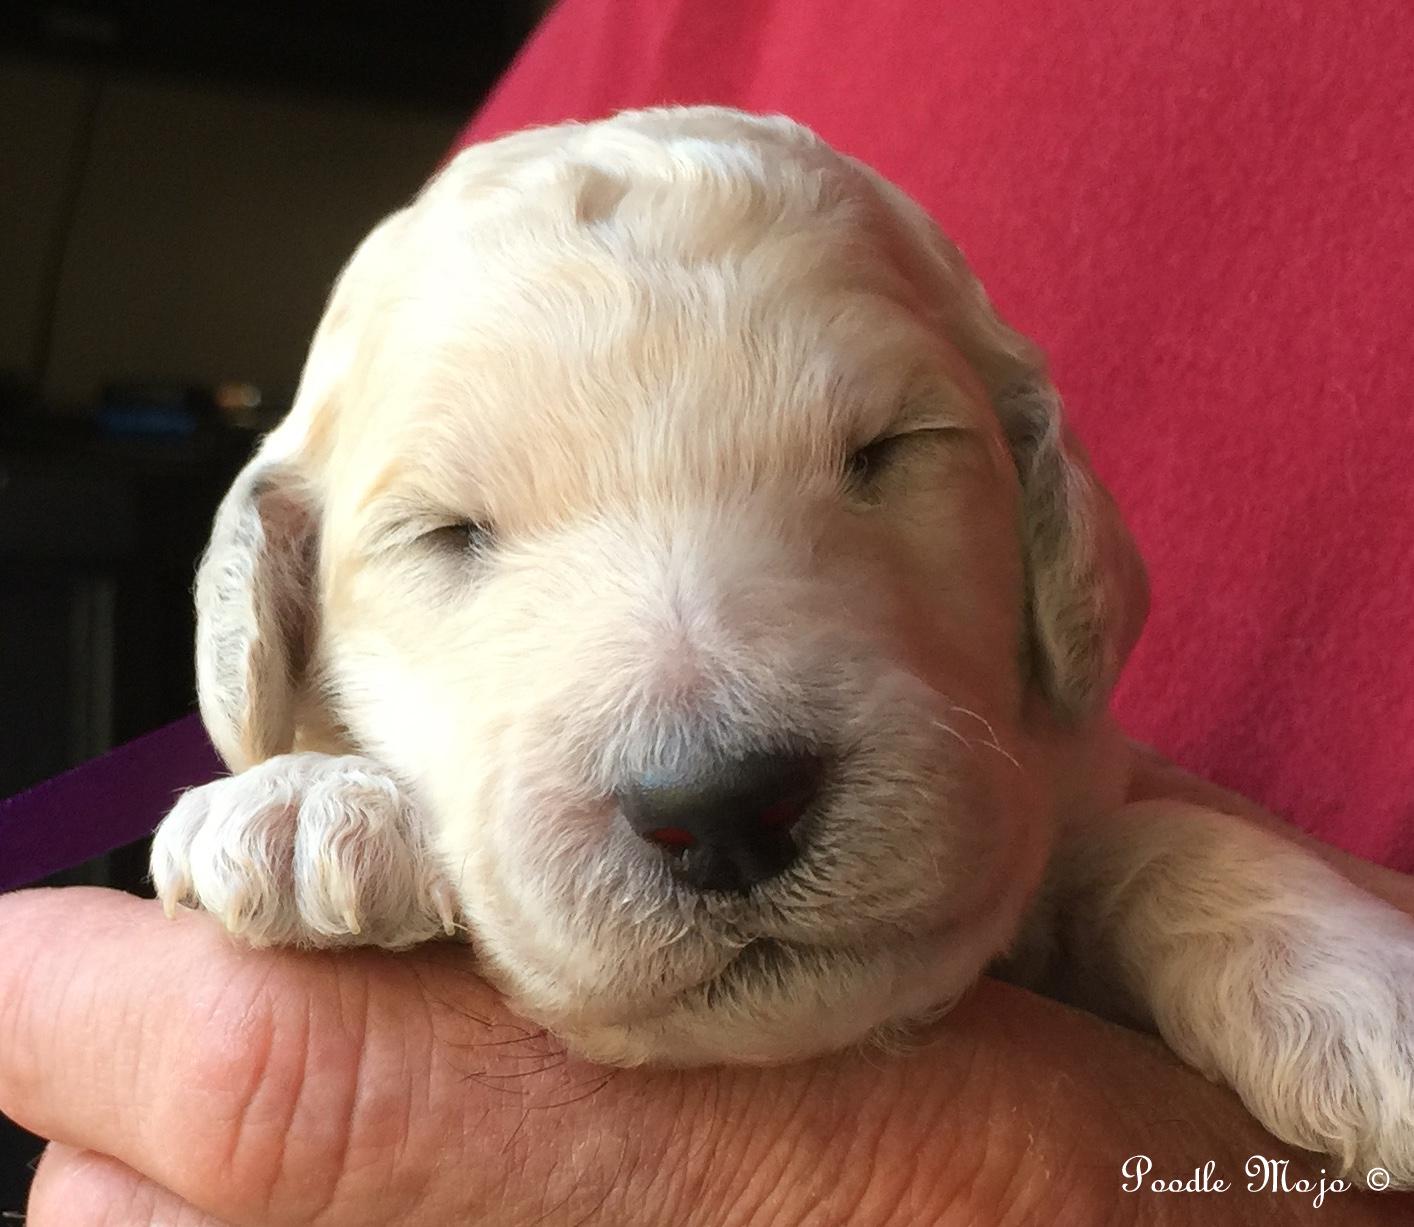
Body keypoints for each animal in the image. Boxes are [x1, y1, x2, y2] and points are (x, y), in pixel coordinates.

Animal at [149, 108, 1414, 1187]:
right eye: (446, 534)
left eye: (889, 451)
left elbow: (1155, 837)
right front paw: (303, 801)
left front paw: (1358, 984)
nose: (721, 808)